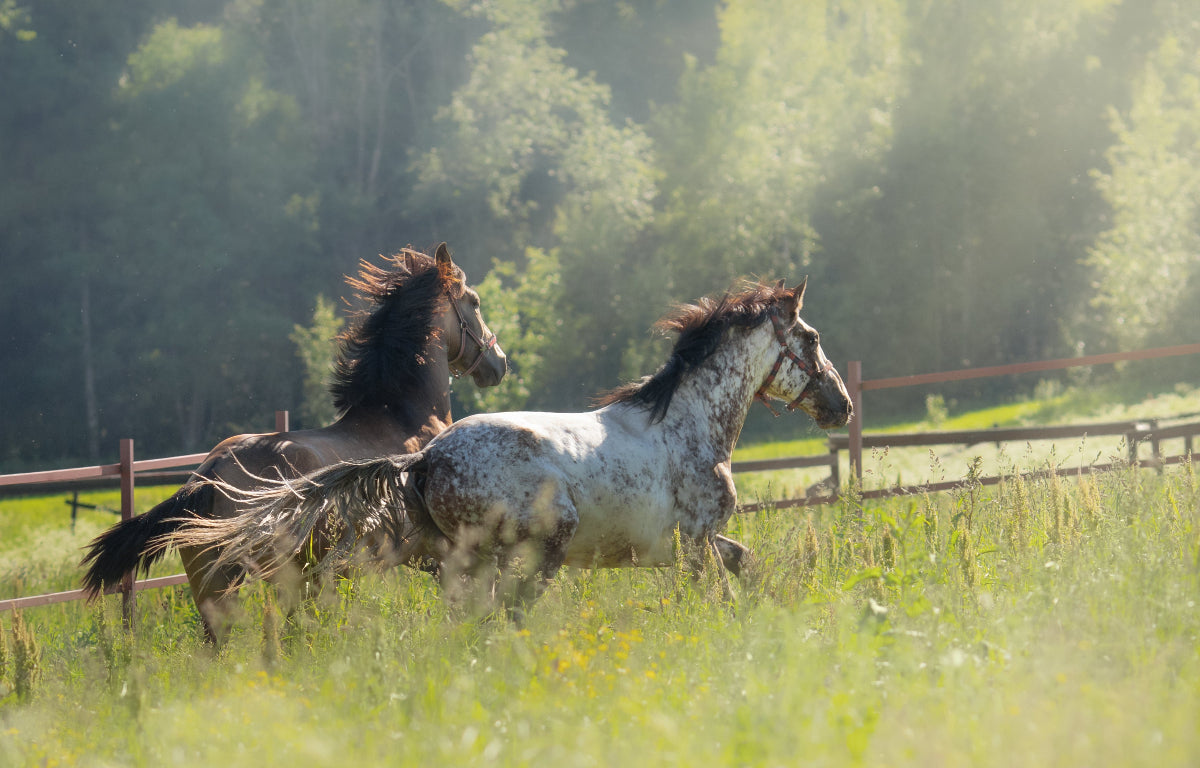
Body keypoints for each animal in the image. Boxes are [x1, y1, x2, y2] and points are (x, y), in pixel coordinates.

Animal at [80, 243, 507, 640]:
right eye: (474, 302)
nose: (499, 364)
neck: (408, 419)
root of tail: (207, 477)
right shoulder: (443, 553)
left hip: (216, 587)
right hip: (282, 578)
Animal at [165, 278, 851, 621]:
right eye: (814, 338)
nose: (840, 404)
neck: (685, 424)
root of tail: (425, 459)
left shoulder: (693, 545)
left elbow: (745, 566)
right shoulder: (694, 541)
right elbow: (718, 588)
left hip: (467, 562)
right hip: (538, 544)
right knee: (508, 613)